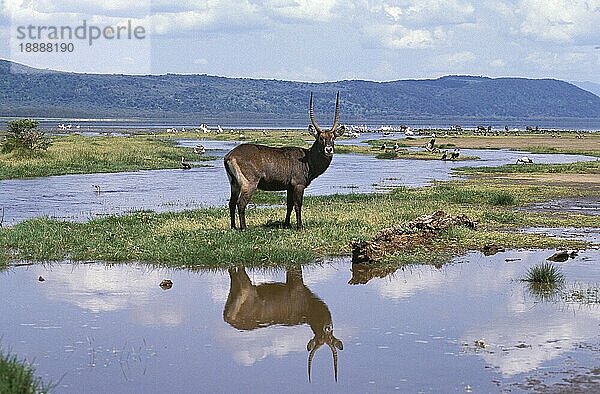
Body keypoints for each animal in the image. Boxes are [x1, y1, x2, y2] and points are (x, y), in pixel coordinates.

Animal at [224, 92, 346, 229]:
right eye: (320, 138)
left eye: (333, 137)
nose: (329, 149)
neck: (307, 158)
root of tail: (230, 155)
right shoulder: (298, 185)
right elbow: (298, 205)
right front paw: (299, 226)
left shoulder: (289, 187)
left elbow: (289, 206)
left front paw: (286, 224)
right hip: (249, 184)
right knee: (241, 203)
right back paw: (243, 228)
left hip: (234, 184)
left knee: (232, 203)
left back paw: (233, 227)